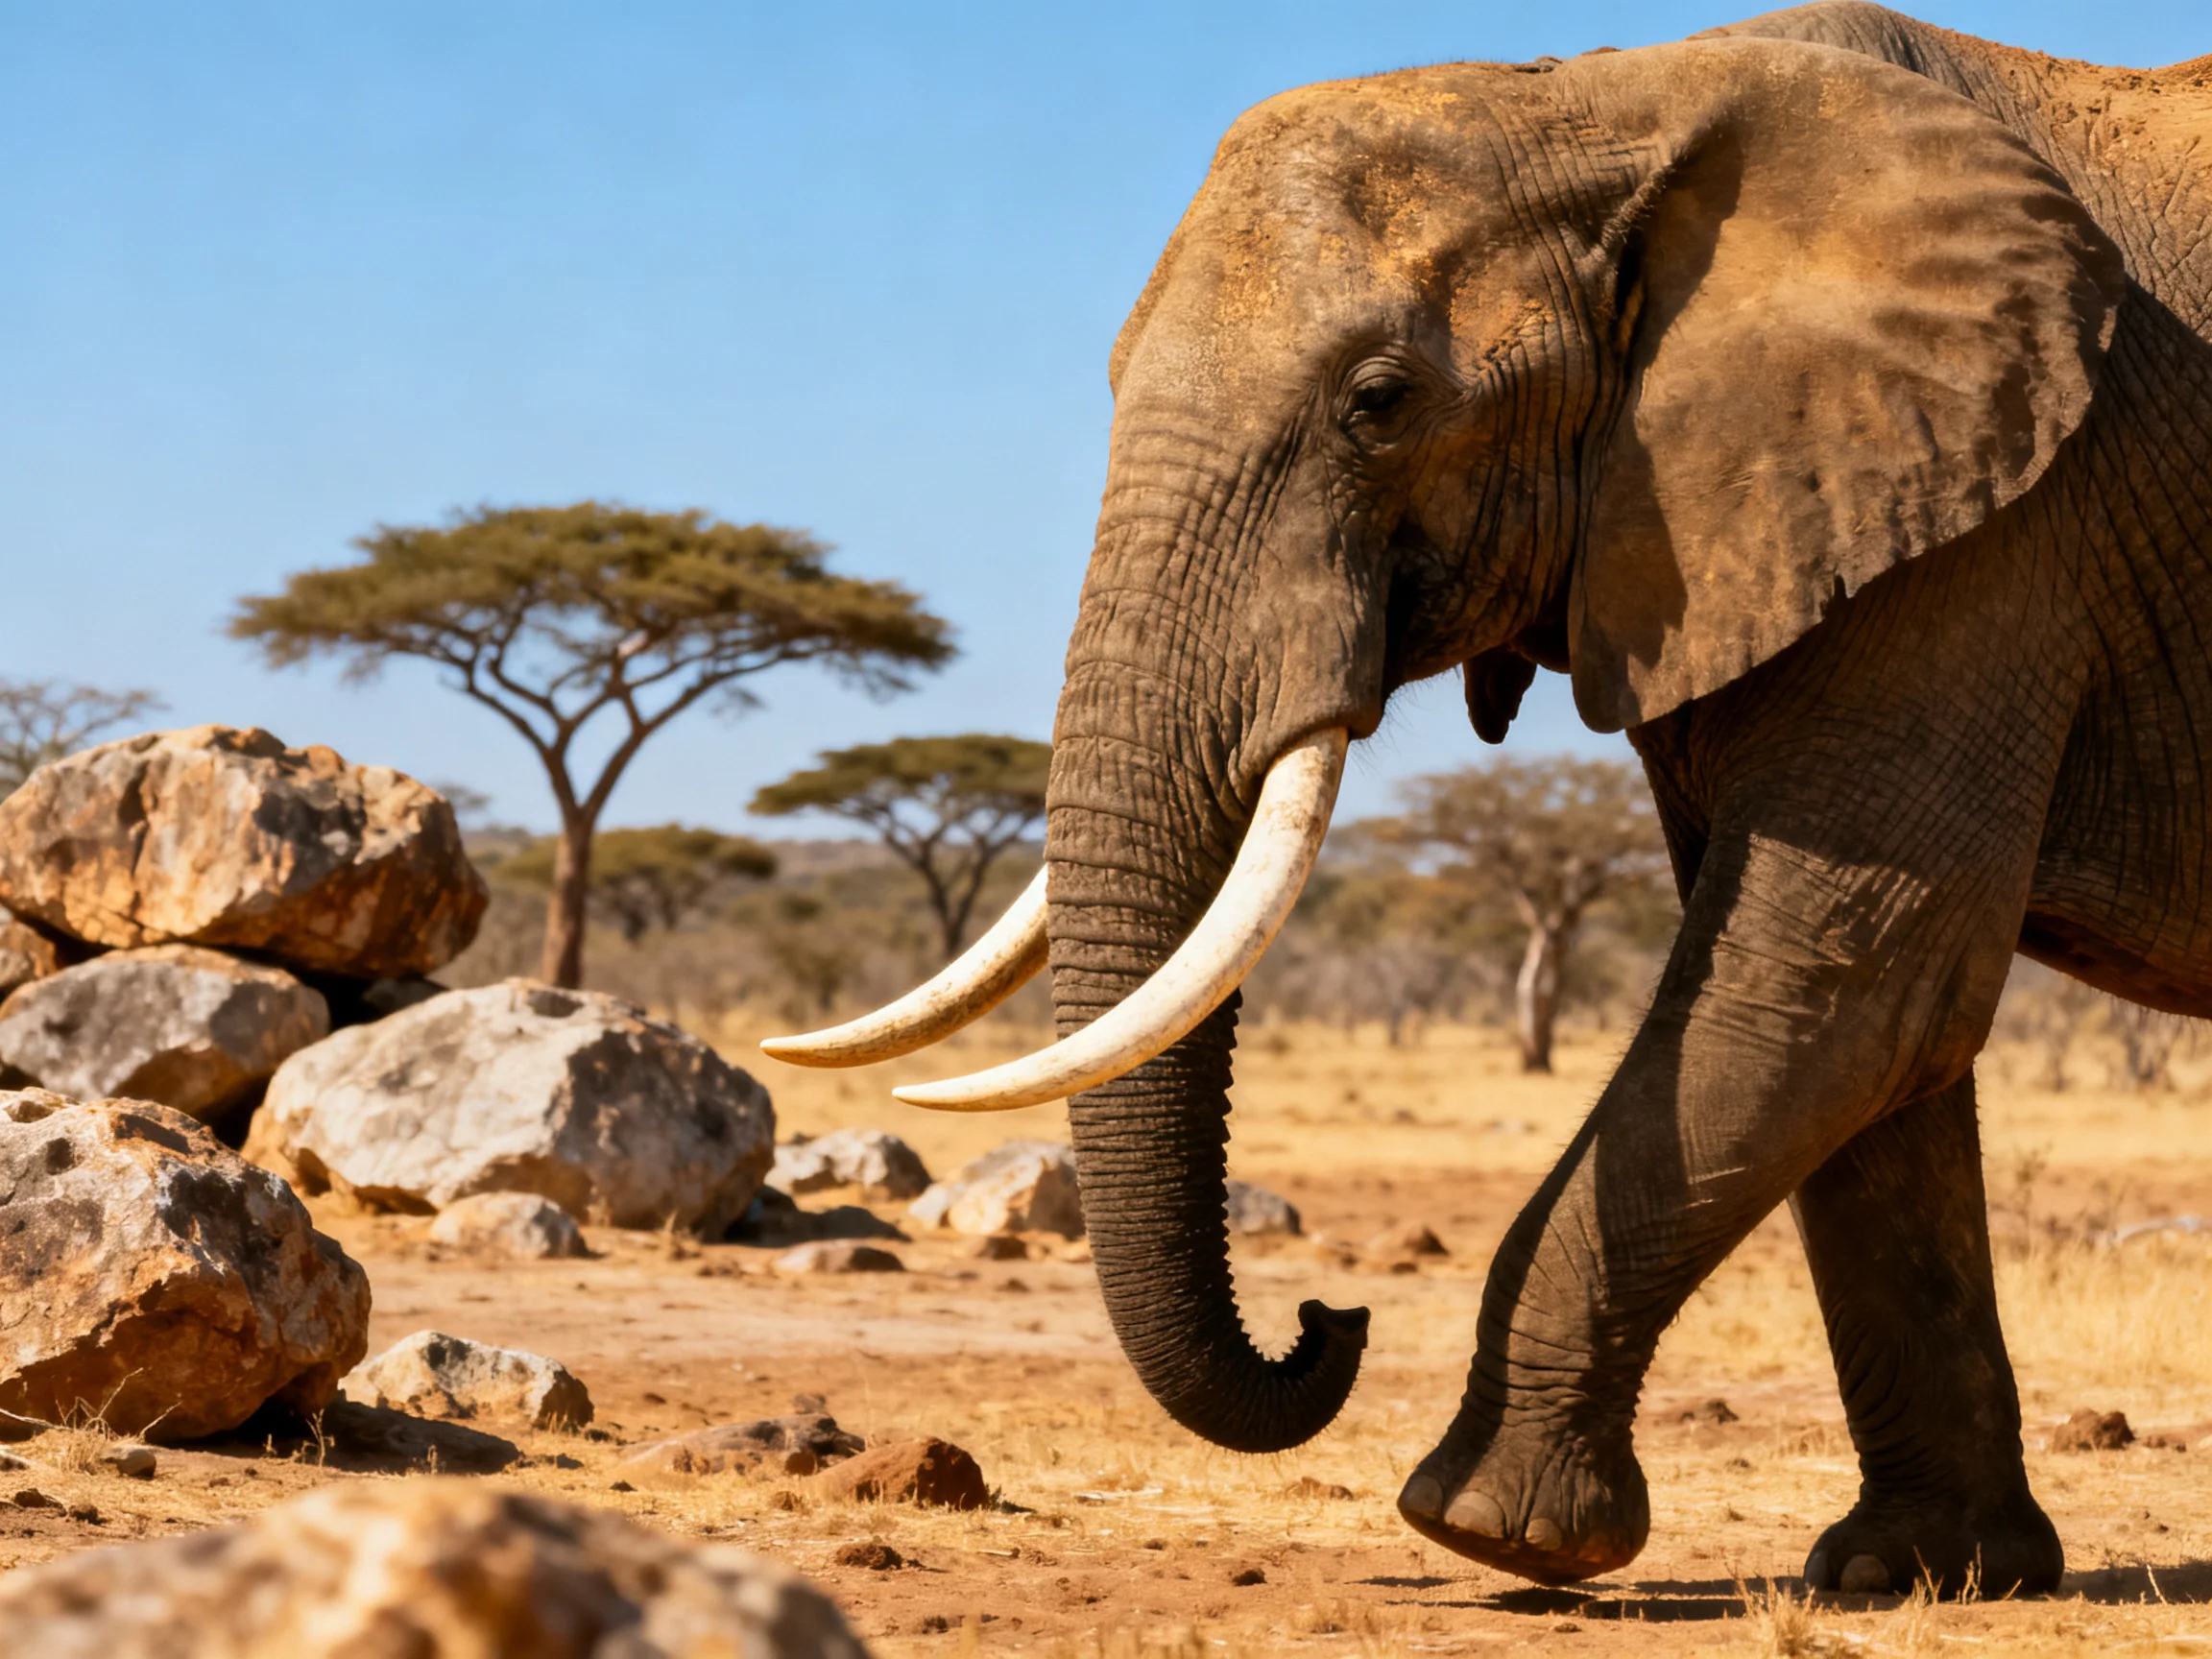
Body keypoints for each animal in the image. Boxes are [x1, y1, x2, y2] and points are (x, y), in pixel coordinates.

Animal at [767, 3, 2212, 1599]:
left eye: (1378, 406)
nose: (1328, 1322)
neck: (1610, 102)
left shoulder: (1997, 530)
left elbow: (1835, 993)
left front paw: (1487, 1530)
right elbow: (1873, 1047)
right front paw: (1922, 1575)